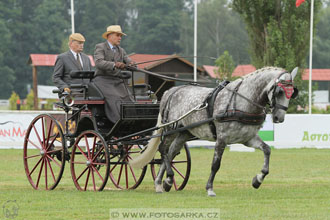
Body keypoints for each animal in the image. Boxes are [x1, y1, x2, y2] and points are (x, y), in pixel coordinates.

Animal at [130, 66, 298, 196]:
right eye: (279, 92)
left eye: (292, 93)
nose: (279, 117)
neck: (242, 101)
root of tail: (170, 91)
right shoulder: (222, 138)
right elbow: (215, 164)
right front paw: (209, 188)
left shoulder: (247, 138)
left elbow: (267, 150)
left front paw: (258, 180)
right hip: (171, 129)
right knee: (163, 149)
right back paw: (167, 179)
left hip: (184, 133)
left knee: (171, 153)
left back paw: (162, 182)